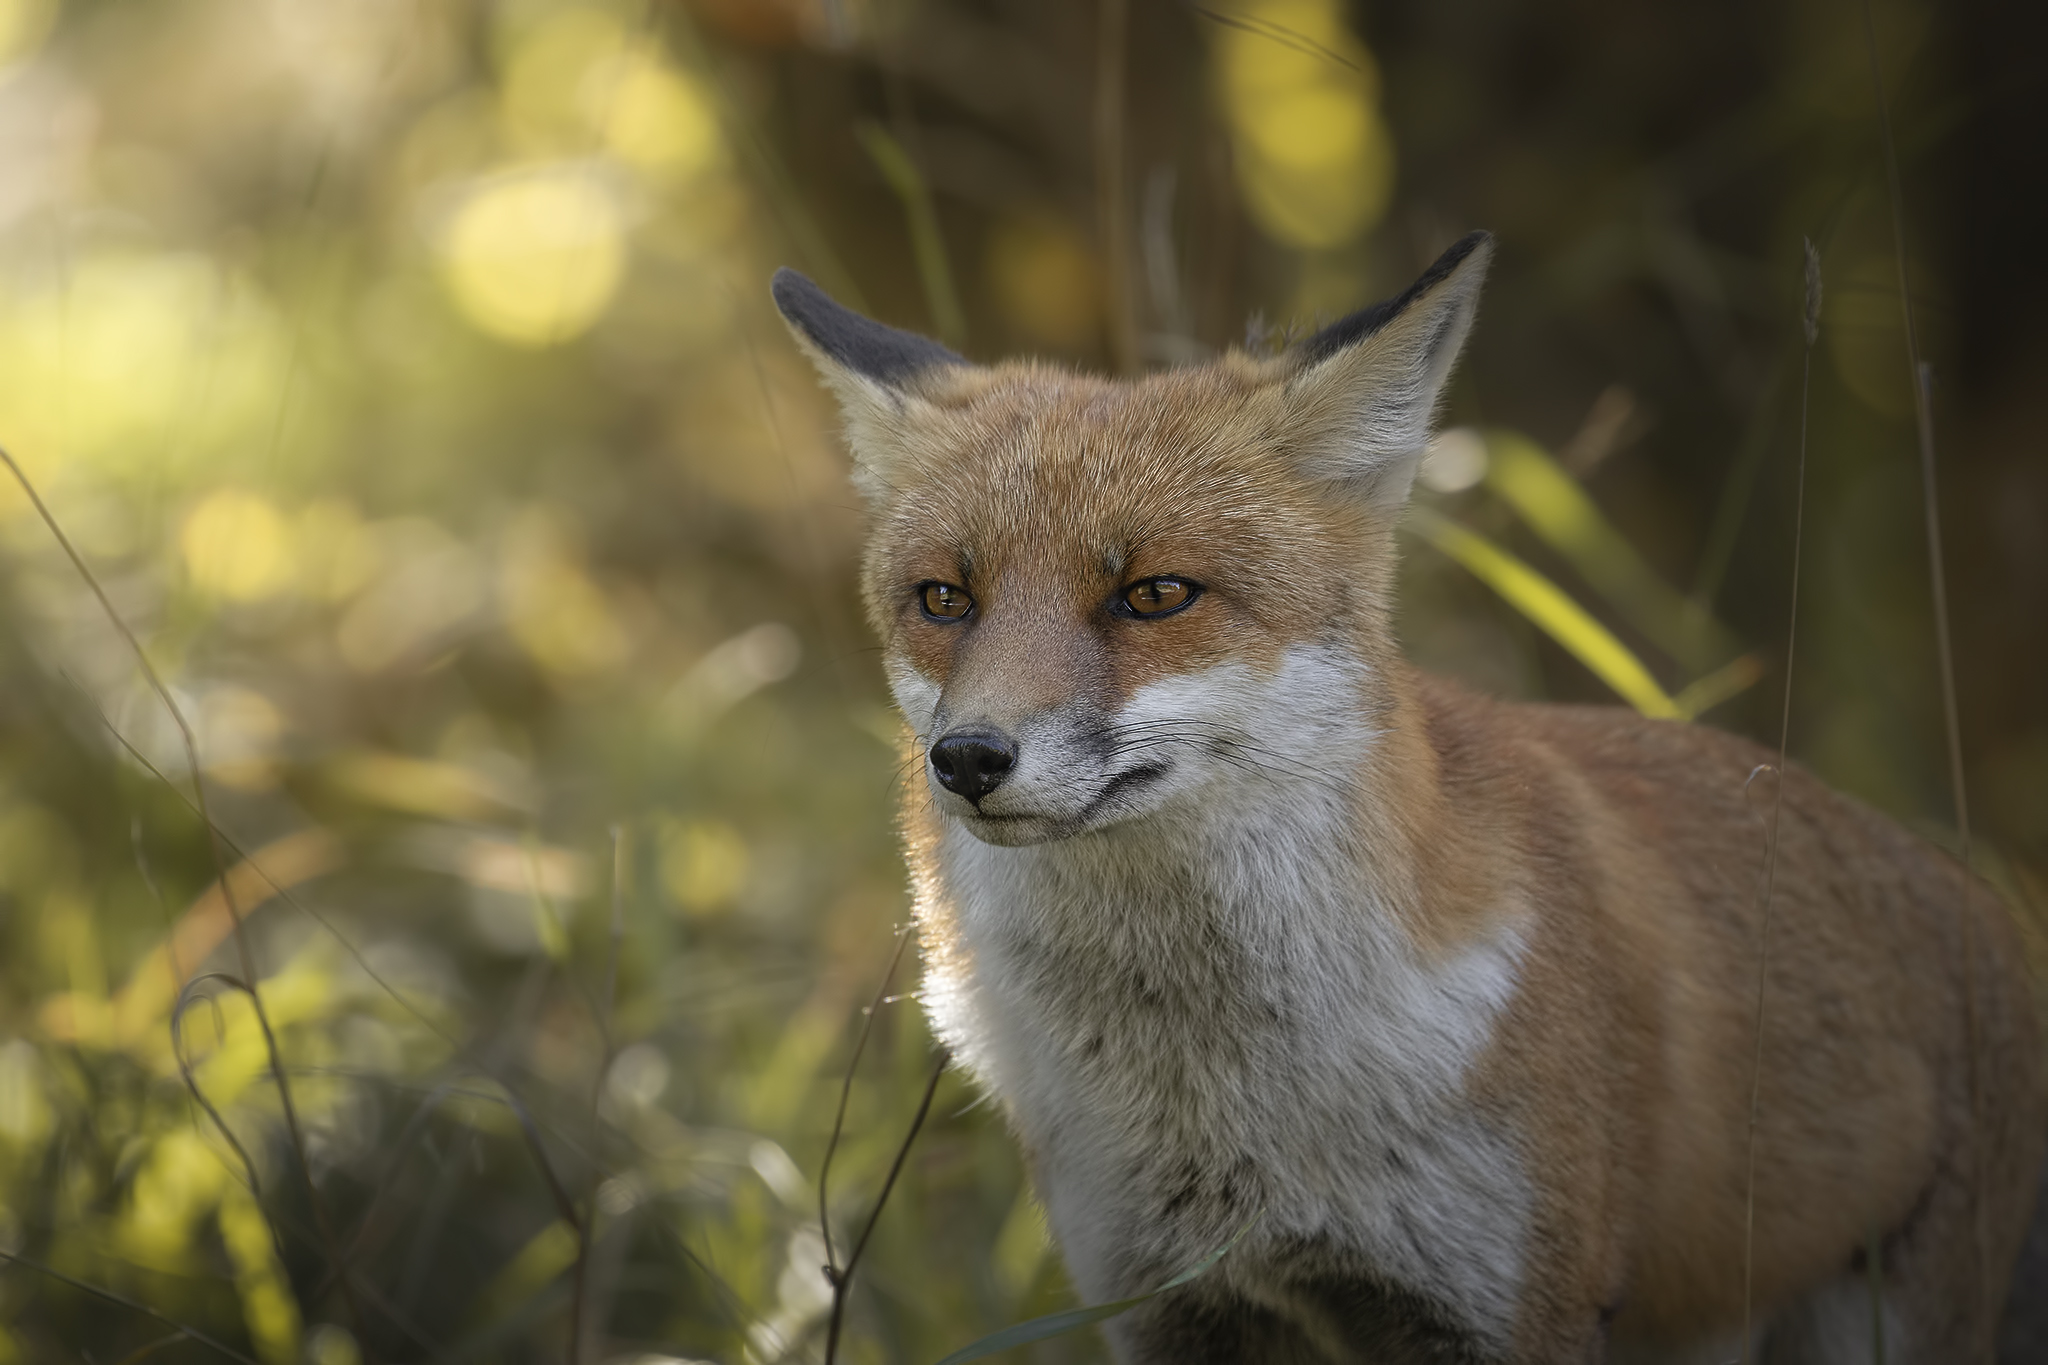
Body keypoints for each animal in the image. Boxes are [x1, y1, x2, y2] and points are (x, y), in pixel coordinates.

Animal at [770, 232, 2046, 1363]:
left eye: (1155, 594)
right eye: (944, 599)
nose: (968, 758)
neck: (1219, 1112)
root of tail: (1986, 909)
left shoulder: (1498, 1300)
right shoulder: (1163, 1302)